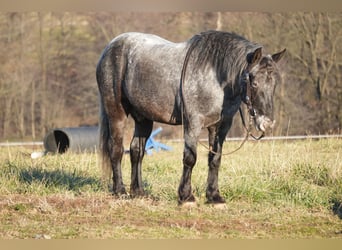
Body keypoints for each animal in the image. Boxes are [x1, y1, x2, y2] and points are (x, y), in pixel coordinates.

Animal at [96, 29, 286, 205]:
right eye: (253, 82)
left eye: (274, 83)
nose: (267, 123)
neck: (215, 76)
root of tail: (110, 47)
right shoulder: (193, 123)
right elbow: (190, 158)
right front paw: (186, 197)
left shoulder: (220, 126)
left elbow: (215, 159)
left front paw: (214, 197)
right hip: (116, 113)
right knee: (116, 149)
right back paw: (120, 191)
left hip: (144, 118)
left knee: (137, 151)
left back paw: (138, 192)